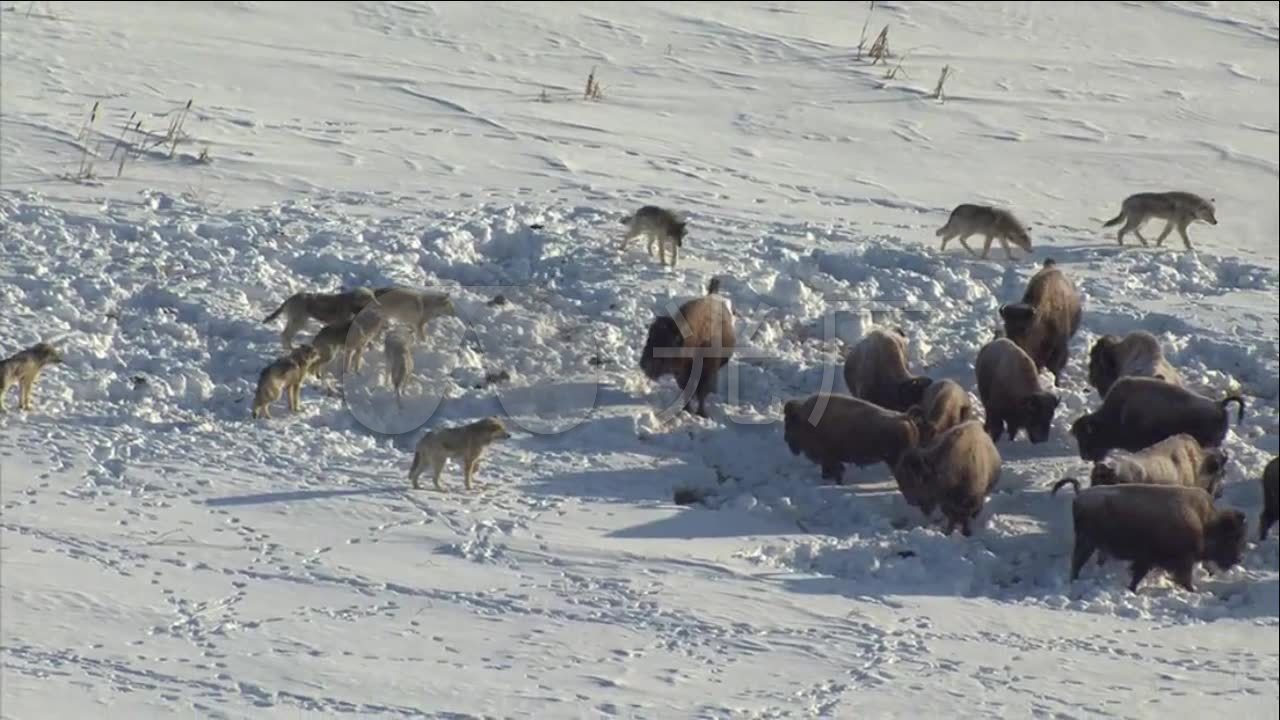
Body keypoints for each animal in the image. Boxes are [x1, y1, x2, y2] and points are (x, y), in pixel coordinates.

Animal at [645, 279, 737, 417]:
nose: (644, 365)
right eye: (649, 338)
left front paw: (702, 413)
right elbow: (687, 391)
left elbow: (701, 392)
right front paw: (686, 409)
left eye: (668, 344)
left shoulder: (705, 372)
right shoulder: (681, 374)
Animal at [778, 389, 921, 484]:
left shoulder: (829, 458)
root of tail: (905, 416)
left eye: (789, 422)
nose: (785, 438)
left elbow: (835, 470)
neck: (805, 419)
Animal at [998, 258, 1080, 386]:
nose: (1014, 346)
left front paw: (1057, 384)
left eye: (1025, 329)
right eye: (1006, 326)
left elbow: (1055, 367)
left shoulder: (1058, 348)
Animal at [1049, 479, 1249, 591]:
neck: (1204, 521)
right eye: (1232, 537)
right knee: (1076, 564)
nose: (1239, 558)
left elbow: (1138, 575)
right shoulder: (1180, 561)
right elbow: (1183, 578)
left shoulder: (1147, 560)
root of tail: (1080, 494)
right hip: (1087, 543)